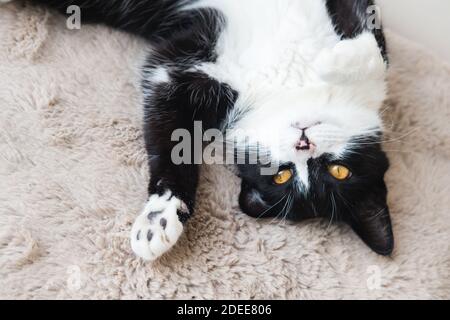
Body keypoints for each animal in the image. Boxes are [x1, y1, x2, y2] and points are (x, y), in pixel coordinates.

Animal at [3, 0, 396, 260]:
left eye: (337, 172)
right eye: (283, 176)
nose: (304, 143)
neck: (292, 85)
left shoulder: (173, 70)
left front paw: (160, 219)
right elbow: (377, 52)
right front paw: (336, 58)